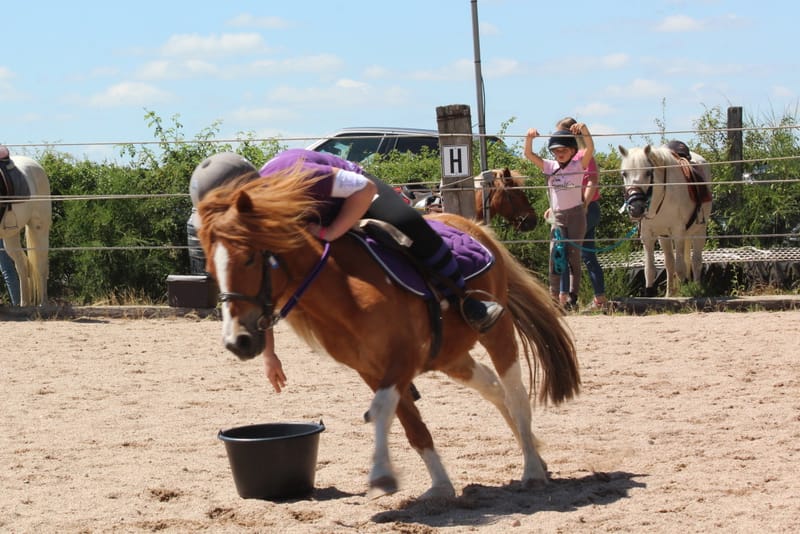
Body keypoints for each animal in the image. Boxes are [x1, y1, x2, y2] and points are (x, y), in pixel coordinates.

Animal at [197, 173, 580, 502]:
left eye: (249, 259)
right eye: (212, 269)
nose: (237, 341)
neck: (344, 288)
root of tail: (478, 230)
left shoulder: (403, 359)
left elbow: (381, 410)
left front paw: (381, 475)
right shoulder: (371, 369)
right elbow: (412, 425)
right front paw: (440, 486)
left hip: (497, 333)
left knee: (515, 395)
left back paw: (532, 470)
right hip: (451, 356)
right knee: (493, 388)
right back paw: (535, 455)